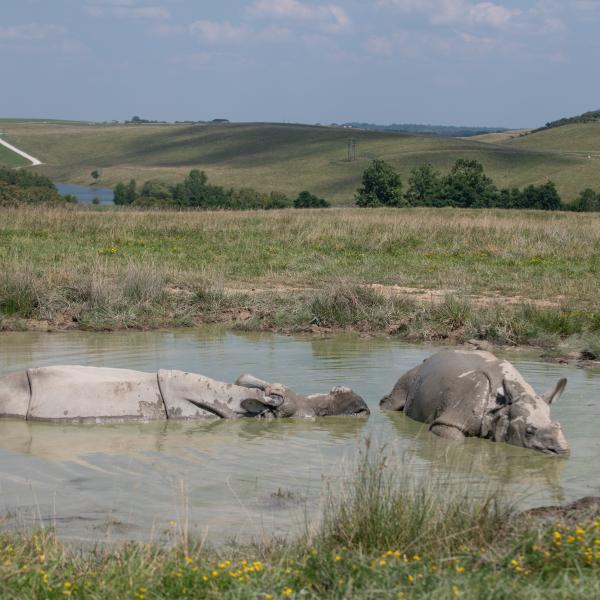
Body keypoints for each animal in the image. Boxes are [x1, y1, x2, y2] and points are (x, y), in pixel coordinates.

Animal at [382, 346, 568, 454]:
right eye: (529, 431)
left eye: (559, 426)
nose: (562, 451)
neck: (501, 407)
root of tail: (432, 356)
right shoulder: (450, 421)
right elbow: (454, 437)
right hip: (417, 371)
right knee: (394, 401)